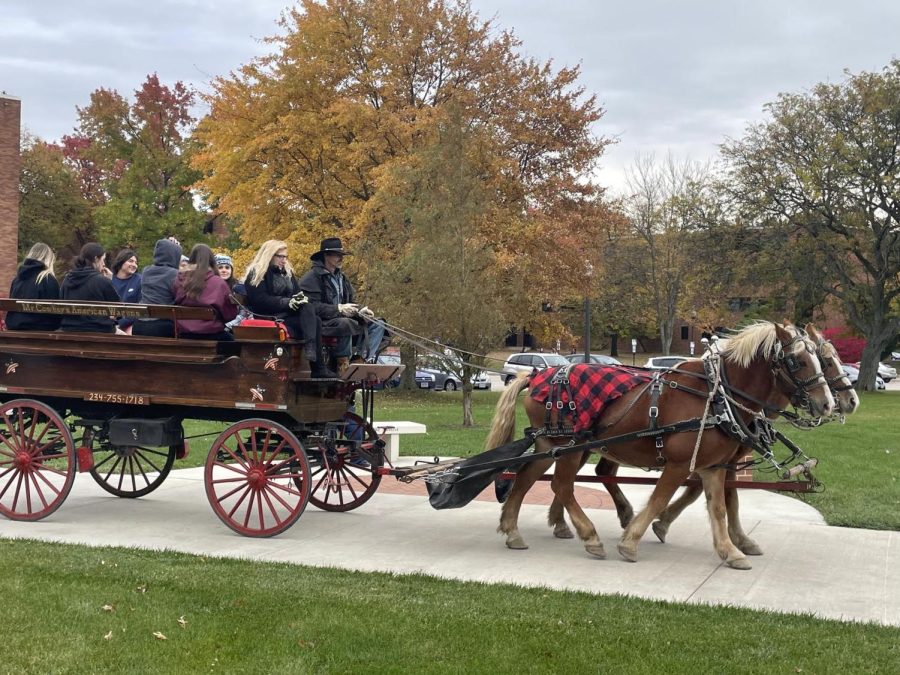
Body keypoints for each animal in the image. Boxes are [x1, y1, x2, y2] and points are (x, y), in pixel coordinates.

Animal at [486, 322, 836, 572]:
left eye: (820, 360)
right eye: (796, 361)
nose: (828, 403)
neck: (717, 397)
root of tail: (537, 374)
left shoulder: (715, 465)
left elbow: (720, 507)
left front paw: (731, 550)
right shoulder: (680, 463)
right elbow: (660, 499)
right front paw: (632, 541)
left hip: (552, 444)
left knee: (527, 477)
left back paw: (513, 530)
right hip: (569, 446)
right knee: (561, 484)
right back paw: (590, 536)